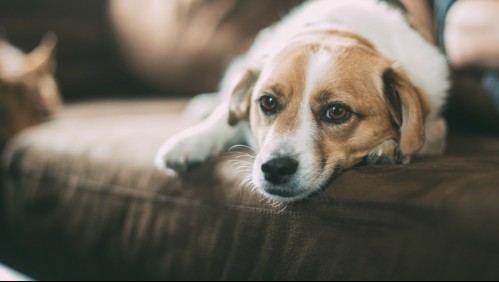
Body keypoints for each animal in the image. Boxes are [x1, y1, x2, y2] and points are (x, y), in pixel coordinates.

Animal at [155, 0, 450, 203]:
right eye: (268, 102)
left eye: (336, 111)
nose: (275, 168)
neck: (339, 29)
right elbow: (224, 119)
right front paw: (191, 142)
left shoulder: (435, 126)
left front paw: (389, 147)